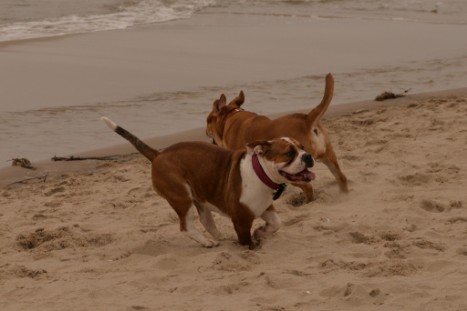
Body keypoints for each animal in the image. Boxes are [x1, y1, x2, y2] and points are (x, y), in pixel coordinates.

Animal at [101, 116, 314, 250]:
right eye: (289, 153)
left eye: (303, 147)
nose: (308, 156)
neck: (259, 172)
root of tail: (159, 154)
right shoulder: (241, 218)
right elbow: (247, 240)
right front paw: (253, 244)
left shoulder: (265, 207)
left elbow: (276, 223)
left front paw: (261, 232)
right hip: (182, 197)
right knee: (186, 226)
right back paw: (206, 242)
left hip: (198, 196)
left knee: (206, 220)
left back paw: (219, 237)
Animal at [207, 73, 350, 202]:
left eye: (207, 120)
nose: (206, 131)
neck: (230, 116)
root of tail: (306, 120)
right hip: (328, 156)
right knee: (341, 177)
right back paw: (344, 196)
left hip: (294, 171)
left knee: (308, 188)